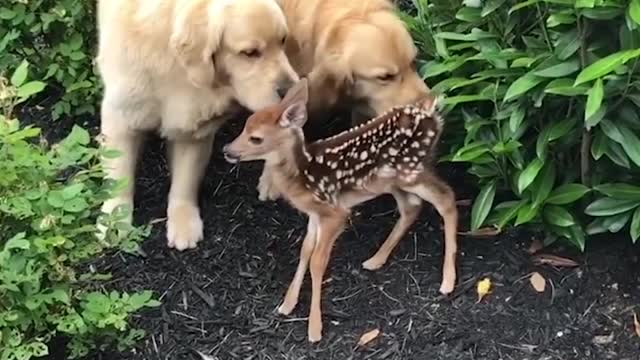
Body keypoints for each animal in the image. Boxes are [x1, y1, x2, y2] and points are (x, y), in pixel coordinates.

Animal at [95, 0, 300, 250]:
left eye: (282, 41)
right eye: (250, 53)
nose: (290, 90)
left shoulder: (194, 128)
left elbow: (185, 180)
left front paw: (183, 222)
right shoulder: (121, 115)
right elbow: (120, 175)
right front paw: (114, 219)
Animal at [222, 79, 458, 344]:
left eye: (256, 139)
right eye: (244, 126)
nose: (227, 150)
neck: (302, 176)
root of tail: (431, 111)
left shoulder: (335, 212)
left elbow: (317, 261)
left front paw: (314, 329)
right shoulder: (315, 213)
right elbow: (305, 250)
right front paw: (287, 304)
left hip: (412, 170)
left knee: (446, 198)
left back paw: (448, 280)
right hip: (389, 181)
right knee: (412, 206)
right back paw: (375, 260)